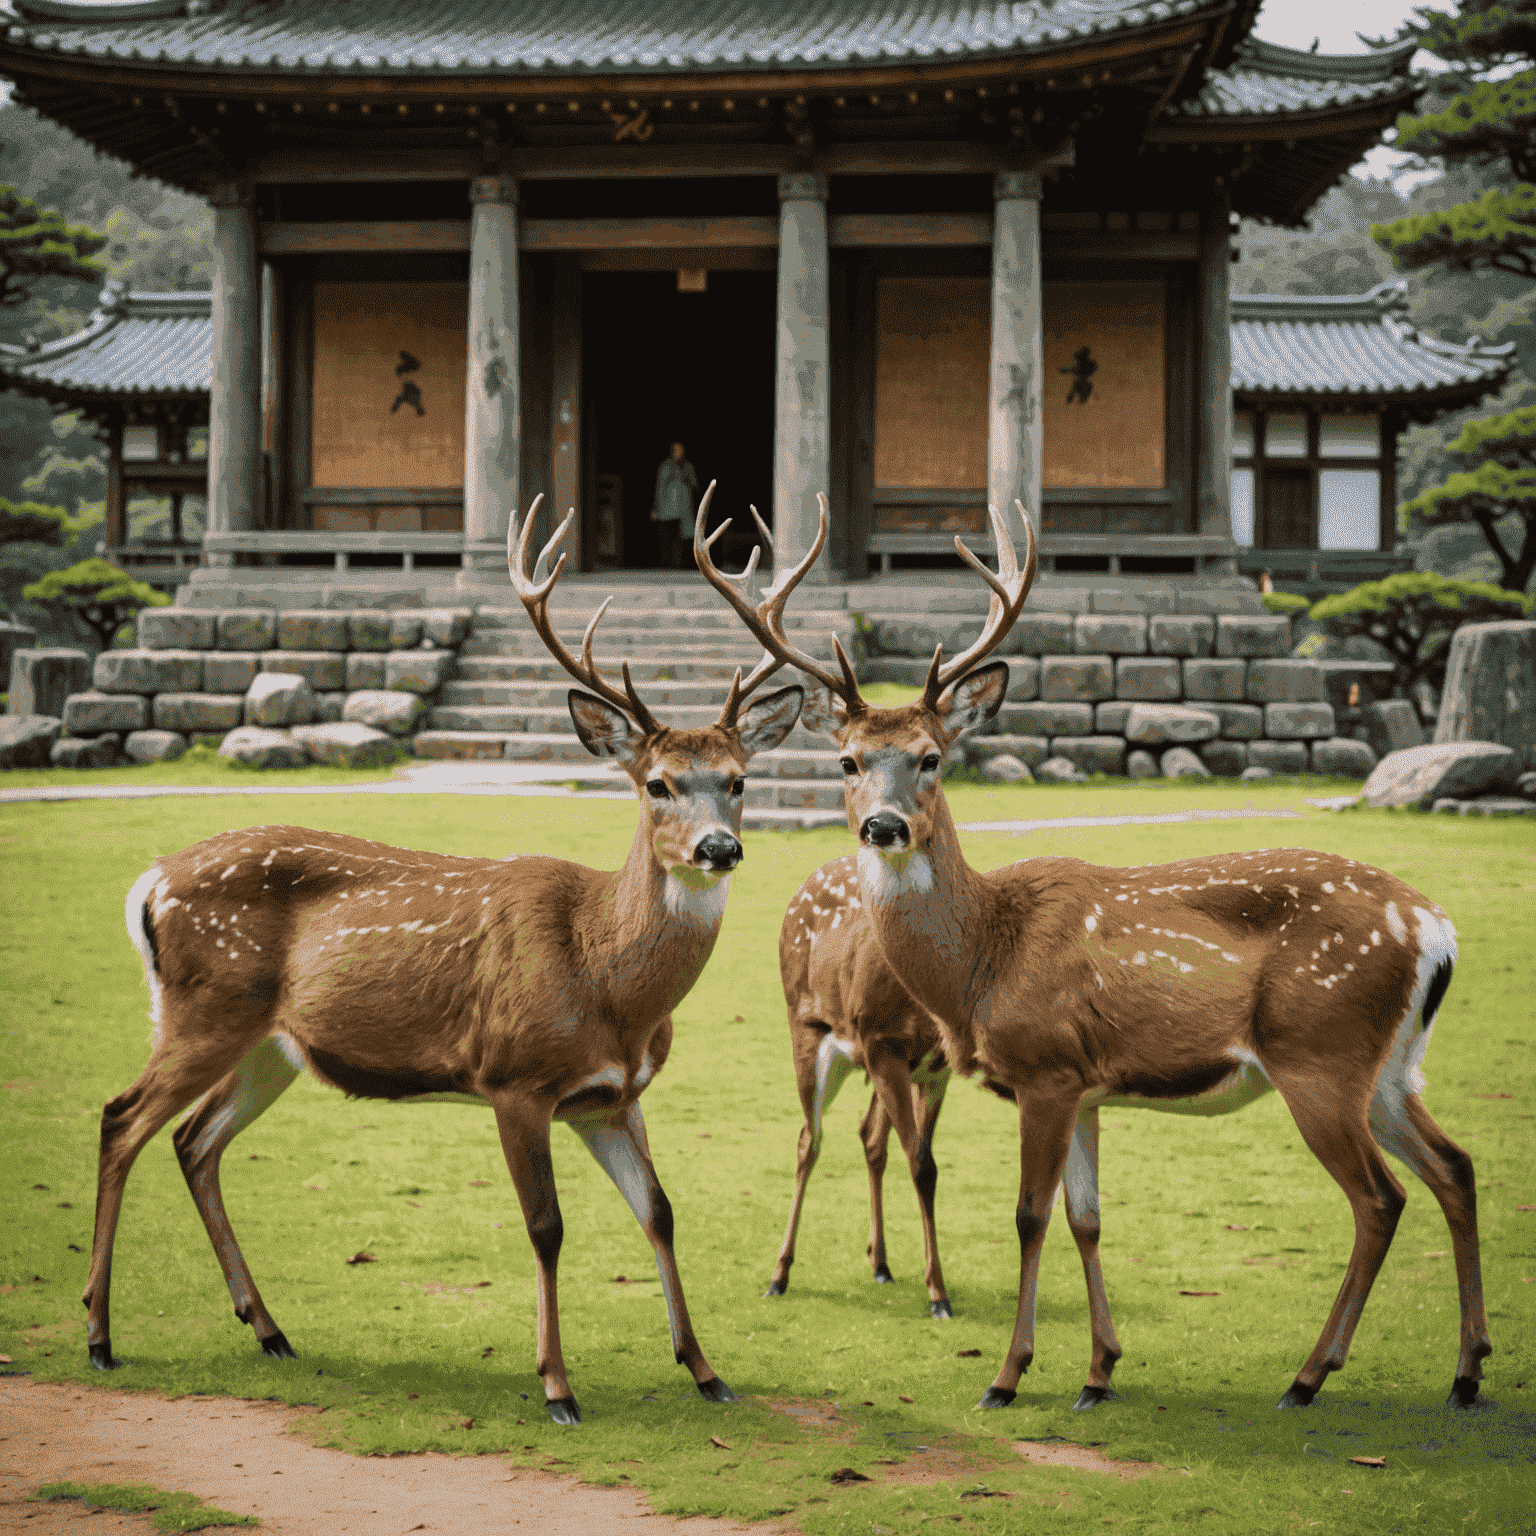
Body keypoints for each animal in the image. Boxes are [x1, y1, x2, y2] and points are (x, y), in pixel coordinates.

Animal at [81, 488, 817, 1425]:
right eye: (657, 784)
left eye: (739, 780)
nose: (719, 848)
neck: (608, 986)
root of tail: (150, 883)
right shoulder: (514, 1075)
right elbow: (547, 1228)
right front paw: (556, 1385)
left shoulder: (611, 1097)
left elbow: (660, 1211)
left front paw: (706, 1370)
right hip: (203, 1006)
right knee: (122, 1119)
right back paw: (100, 1335)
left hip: (270, 1046)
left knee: (193, 1140)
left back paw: (270, 1330)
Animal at [715, 494, 1486, 1413]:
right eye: (847, 760)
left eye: (933, 758)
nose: (885, 825)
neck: (981, 964)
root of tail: (1436, 930)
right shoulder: (1086, 1083)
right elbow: (1086, 1217)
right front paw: (1099, 1371)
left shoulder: (1045, 1068)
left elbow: (1029, 1215)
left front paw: (1008, 1376)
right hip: (1392, 1067)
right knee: (1455, 1168)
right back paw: (1466, 1371)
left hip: (1321, 1053)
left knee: (1380, 1198)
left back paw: (1309, 1376)